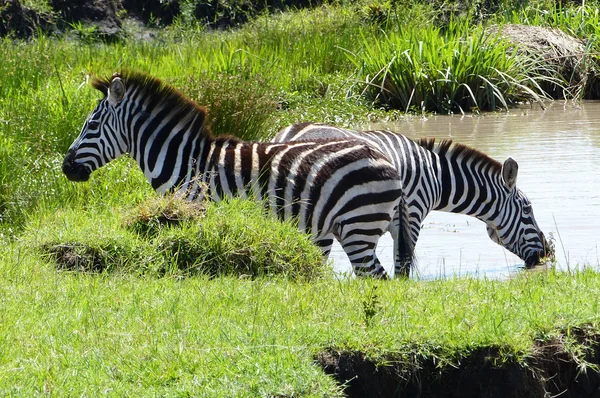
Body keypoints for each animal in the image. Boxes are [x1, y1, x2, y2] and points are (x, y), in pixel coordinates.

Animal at [62, 70, 408, 276]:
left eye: (92, 125)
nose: (66, 168)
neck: (187, 162)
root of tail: (386, 158)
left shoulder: (199, 211)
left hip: (358, 228)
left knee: (375, 277)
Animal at [274, 122, 552, 276]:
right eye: (528, 210)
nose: (547, 253)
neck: (437, 177)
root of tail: (288, 136)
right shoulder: (412, 217)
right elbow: (403, 266)